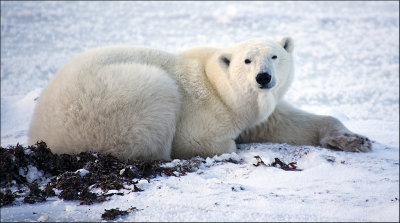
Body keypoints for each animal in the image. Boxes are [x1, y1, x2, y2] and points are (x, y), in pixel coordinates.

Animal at [28, 37, 372, 161]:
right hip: (107, 100)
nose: (263, 77)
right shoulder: (210, 110)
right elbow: (199, 140)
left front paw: (355, 139)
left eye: (274, 55)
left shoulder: (257, 109)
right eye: (247, 60)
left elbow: (284, 122)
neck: (218, 84)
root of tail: (39, 130)